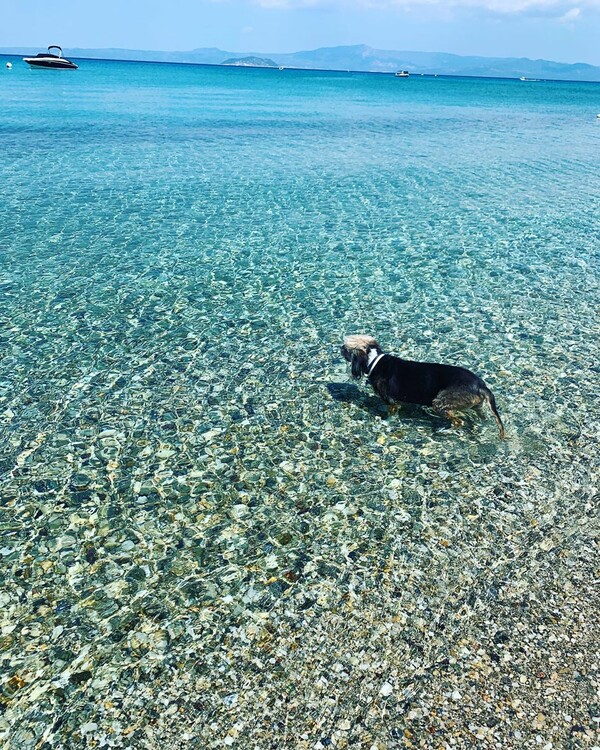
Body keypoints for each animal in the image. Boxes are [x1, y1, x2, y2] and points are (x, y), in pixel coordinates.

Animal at [340, 336, 504, 440]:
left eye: (346, 347)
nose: (339, 347)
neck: (373, 360)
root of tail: (480, 385)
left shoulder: (391, 402)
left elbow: (391, 415)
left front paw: (386, 423)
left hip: (439, 403)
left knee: (458, 422)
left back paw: (445, 431)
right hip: (477, 406)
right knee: (482, 418)